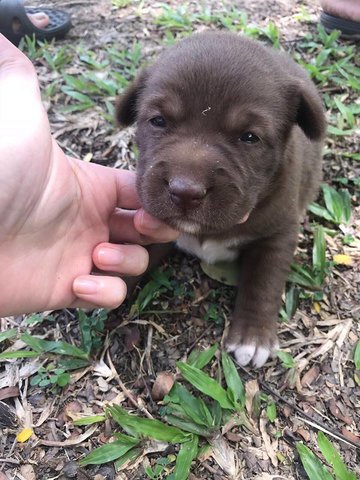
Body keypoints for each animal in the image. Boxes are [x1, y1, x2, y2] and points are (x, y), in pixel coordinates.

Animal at [116, 31, 326, 370]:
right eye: (158, 121)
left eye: (249, 137)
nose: (185, 191)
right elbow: (139, 247)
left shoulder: (278, 233)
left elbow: (264, 281)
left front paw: (252, 336)